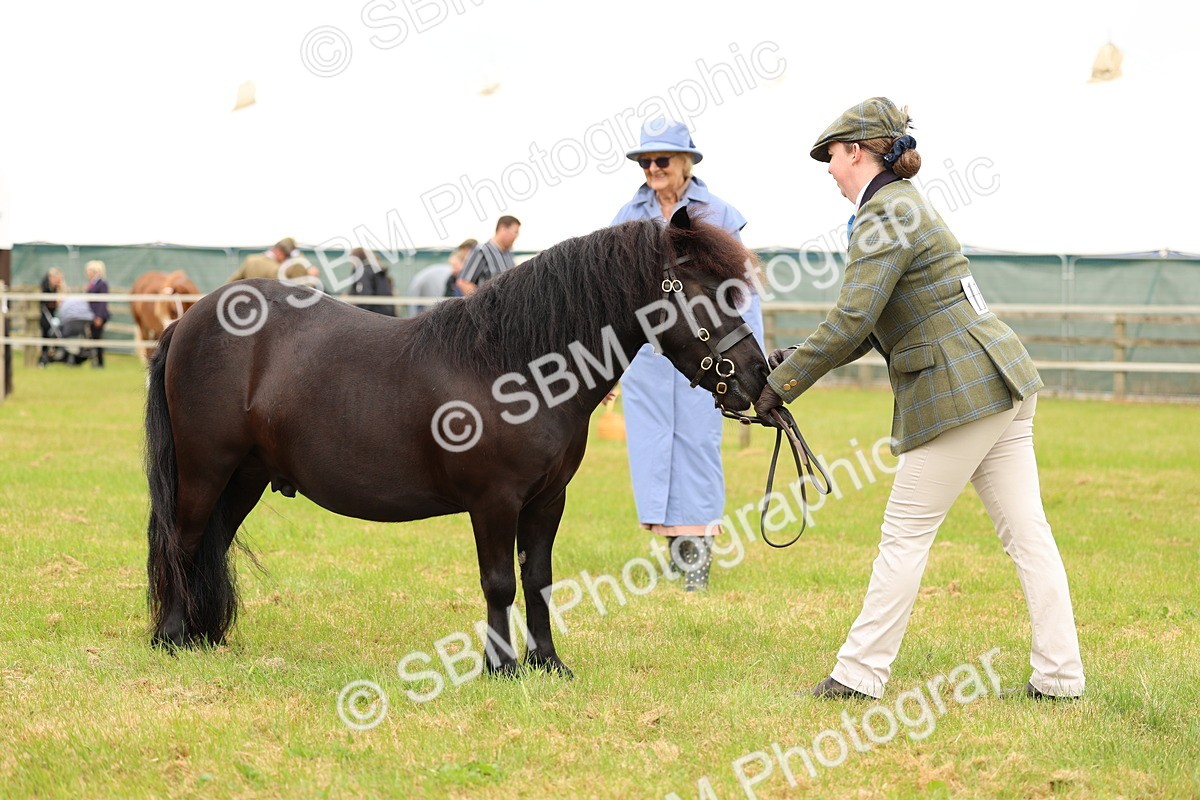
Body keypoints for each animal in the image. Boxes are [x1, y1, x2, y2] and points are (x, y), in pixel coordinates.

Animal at [145, 207, 770, 677]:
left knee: (213, 542)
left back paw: (204, 638)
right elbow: (499, 583)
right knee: (185, 540)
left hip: (245, 476)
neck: (514, 367)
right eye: (706, 291)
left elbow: (537, 579)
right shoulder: (494, 501)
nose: (758, 378)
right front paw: (502, 667)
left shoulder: (547, 501)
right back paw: (173, 639)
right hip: (206, 468)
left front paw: (548, 663)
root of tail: (189, 318)